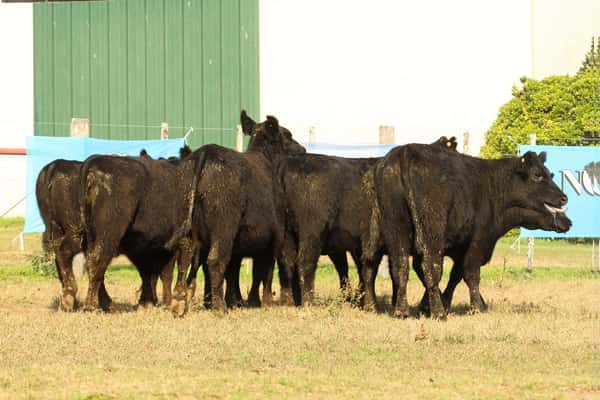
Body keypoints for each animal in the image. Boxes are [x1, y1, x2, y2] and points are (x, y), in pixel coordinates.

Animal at [376, 147, 572, 318]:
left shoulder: (461, 249)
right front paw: (476, 307)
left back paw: (402, 311)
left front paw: (433, 305)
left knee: (400, 267)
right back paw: (438, 313)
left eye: (551, 174)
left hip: (396, 228)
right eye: (537, 175)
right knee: (431, 266)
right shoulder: (478, 241)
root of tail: (406, 151)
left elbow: (455, 275)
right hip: (432, 231)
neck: (493, 187)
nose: (564, 198)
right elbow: (470, 274)